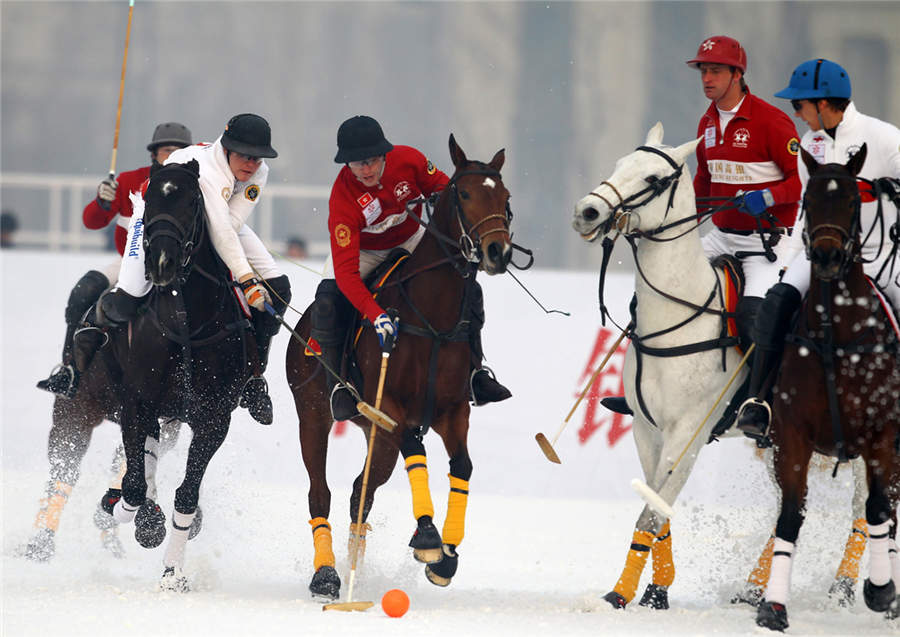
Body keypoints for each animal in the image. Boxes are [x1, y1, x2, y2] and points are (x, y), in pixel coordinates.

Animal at [568, 121, 872, 608]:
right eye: (619, 164)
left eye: (654, 178)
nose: (588, 212)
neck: (676, 316)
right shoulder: (647, 430)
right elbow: (657, 505)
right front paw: (655, 591)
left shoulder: (687, 432)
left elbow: (650, 513)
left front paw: (620, 595)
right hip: (783, 440)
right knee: (794, 503)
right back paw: (753, 587)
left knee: (865, 506)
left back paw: (842, 590)